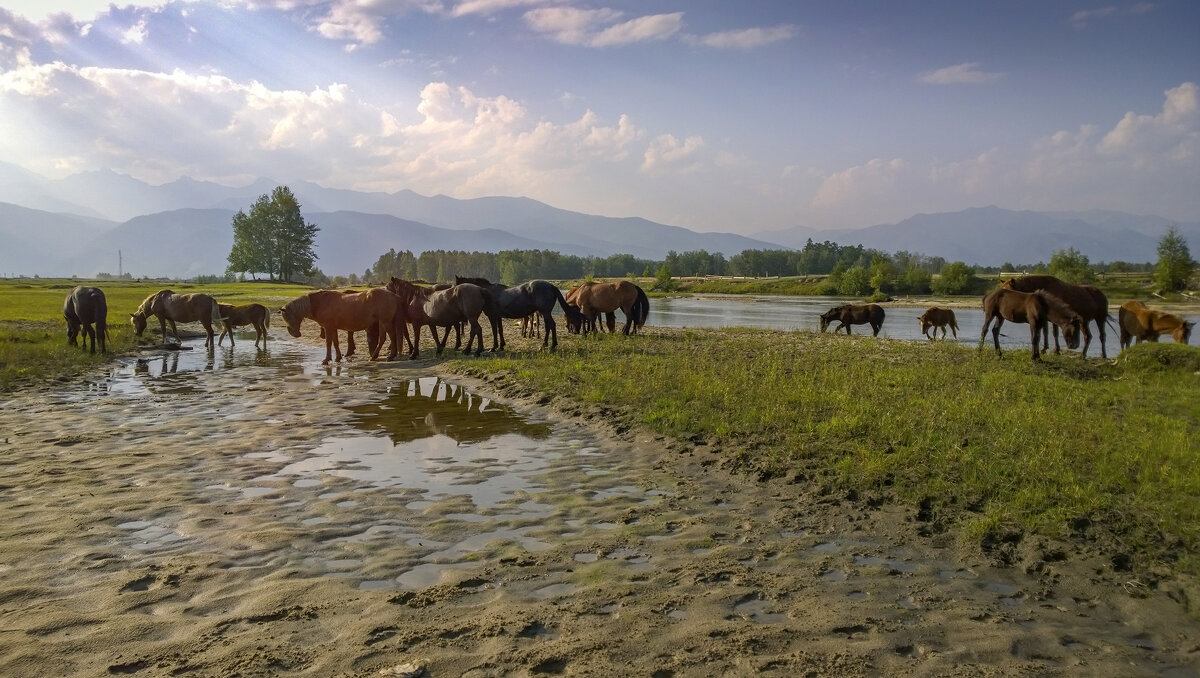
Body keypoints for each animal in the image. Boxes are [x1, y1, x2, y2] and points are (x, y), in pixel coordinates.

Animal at [279, 289, 408, 364]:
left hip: (386, 322)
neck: (320, 303)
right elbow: (335, 342)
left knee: (392, 337)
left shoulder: (328, 327)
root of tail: (393, 295)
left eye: (288, 317)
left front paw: (326, 360)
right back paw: (374, 357)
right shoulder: (333, 328)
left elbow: (328, 343)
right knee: (382, 339)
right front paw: (337, 358)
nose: (296, 334)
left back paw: (390, 356)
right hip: (382, 322)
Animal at [451, 273, 583, 348]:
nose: (451, 295)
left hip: (545, 312)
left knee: (551, 326)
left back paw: (549, 345)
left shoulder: (492, 316)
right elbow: (500, 330)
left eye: (456, 284)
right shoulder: (498, 317)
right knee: (549, 326)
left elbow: (494, 331)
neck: (487, 292)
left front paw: (494, 347)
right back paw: (549, 344)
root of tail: (551, 286)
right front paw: (501, 345)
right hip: (545, 313)